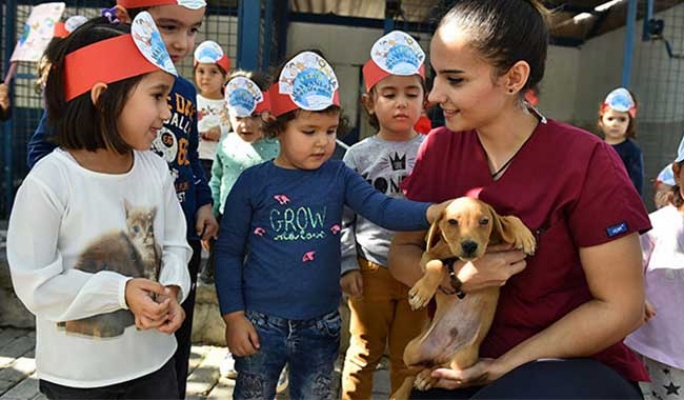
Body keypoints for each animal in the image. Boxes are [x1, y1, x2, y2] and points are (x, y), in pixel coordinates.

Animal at [390, 197, 536, 400]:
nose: (469, 246)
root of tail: (441, 353)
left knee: (437, 369)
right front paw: (422, 293)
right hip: (411, 349)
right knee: (413, 370)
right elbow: (437, 264)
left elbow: (508, 218)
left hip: (464, 358)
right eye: (452, 222)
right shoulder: (427, 256)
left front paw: (524, 235)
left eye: (484, 221)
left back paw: (427, 377)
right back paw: (404, 390)